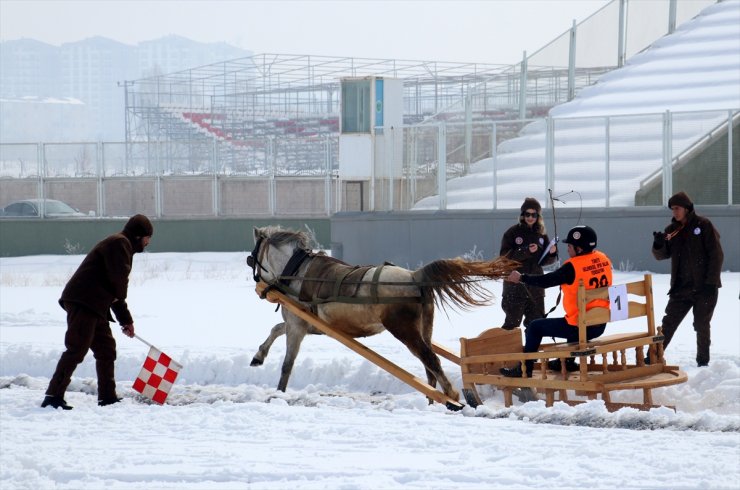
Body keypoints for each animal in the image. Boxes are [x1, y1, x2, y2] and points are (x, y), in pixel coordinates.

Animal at [246, 224, 516, 404]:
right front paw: (258, 356)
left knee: (431, 360)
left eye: (254, 255)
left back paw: (450, 396)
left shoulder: (298, 325)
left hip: (405, 331)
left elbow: (287, 364)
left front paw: (278, 393)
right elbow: (275, 330)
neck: (297, 272)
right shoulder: (304, 325)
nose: (258, 284)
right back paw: (433, 400)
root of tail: (415, 276)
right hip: (424, 328)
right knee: (428, 366)